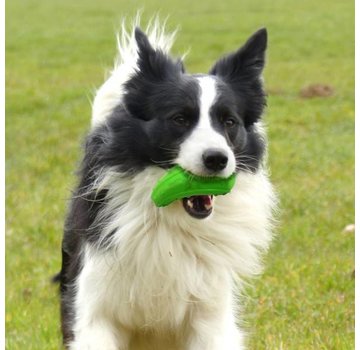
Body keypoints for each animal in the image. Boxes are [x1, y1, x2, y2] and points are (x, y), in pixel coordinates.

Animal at [55, 19, 276, 350]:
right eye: (180, 119)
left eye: (229, 122)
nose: (217, 159)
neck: (168, 219)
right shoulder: (94, 307)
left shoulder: (210, 314)